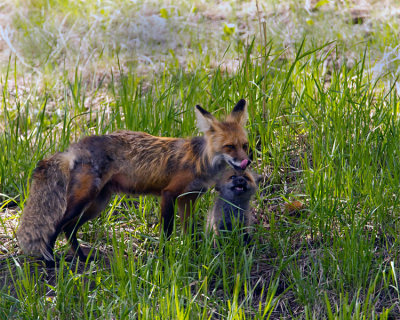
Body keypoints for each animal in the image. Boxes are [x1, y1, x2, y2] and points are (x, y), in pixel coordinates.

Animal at [18, 99, 252, 262]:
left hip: (98, 203)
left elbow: (190, 232)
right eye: (229, 147)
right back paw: (50, 260)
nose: (246, 162)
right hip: (83, 199)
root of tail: (74, 147)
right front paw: (166, 257)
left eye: (245, 145)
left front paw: (193, 254)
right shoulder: (169, 194)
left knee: (70, 228)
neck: (201, 161)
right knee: (56, 226)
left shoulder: (189, 198)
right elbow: (167, 231)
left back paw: (83, 258)